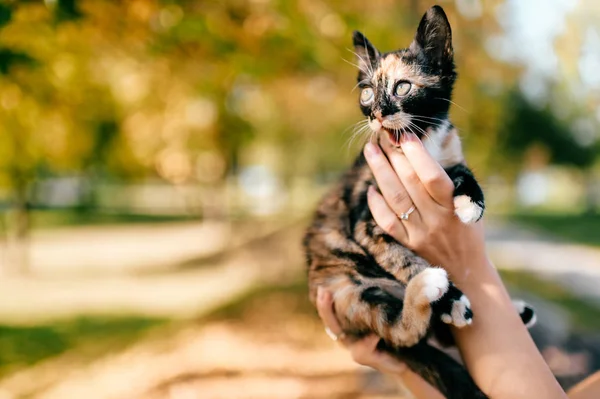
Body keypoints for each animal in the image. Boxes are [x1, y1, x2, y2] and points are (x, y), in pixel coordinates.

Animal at [304, 6, 536, 399]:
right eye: (366, 93)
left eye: (402, 87)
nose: (377, 113)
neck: (421, 140)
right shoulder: (366, 222)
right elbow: (405, 259)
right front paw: (449, 298)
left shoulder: (448, 157)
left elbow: (462, 170)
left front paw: (471, 202)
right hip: (350, 293)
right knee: (402, 331)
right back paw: (431, 291)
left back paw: (515, 312)